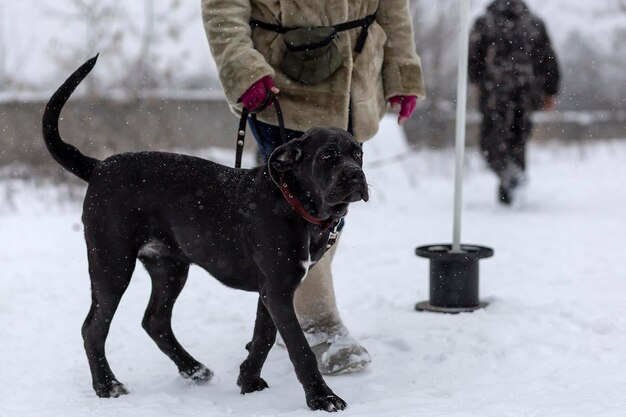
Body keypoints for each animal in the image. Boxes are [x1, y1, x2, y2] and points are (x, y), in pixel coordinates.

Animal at [40, 56, 366, 412]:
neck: (295, 205)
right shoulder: (279, 290)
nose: (356, 175)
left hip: (169, 266)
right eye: (327, 156)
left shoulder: (272, 289)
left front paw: (248, 380)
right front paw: (322, 398)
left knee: (154, 320)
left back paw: (192, 368)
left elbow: (264, 337)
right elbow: (299, 347)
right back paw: (107, 385)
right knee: (93, 328)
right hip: (112, 264)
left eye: (357, 154)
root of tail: (98, 167)